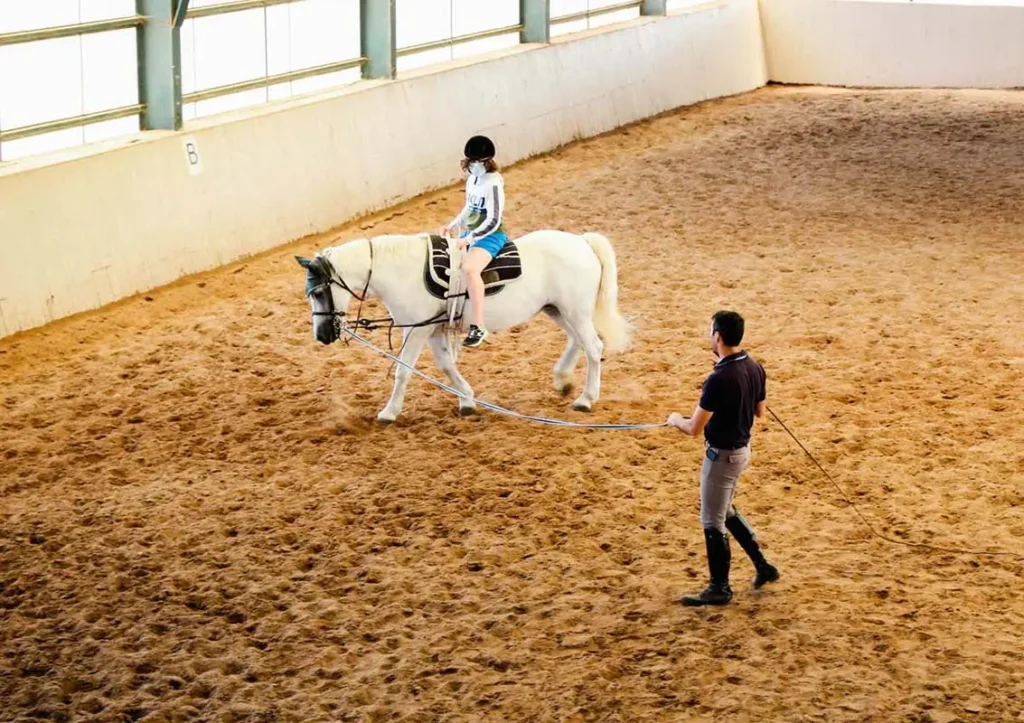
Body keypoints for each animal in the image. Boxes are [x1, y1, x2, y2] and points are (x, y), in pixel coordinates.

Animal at [295, 230, 632, 423]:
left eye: (320, 291)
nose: (322, 335)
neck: (403, 272)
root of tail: (582, 241)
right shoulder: (432, 329)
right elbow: (446, 366)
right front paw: (467, 401)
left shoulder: (415, 330)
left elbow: (404, 370)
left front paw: (389, 412)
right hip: (558, 309)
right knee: (579, 341)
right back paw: (563, 380)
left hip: (573, 310)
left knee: (593, 346)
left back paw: (586, 399)